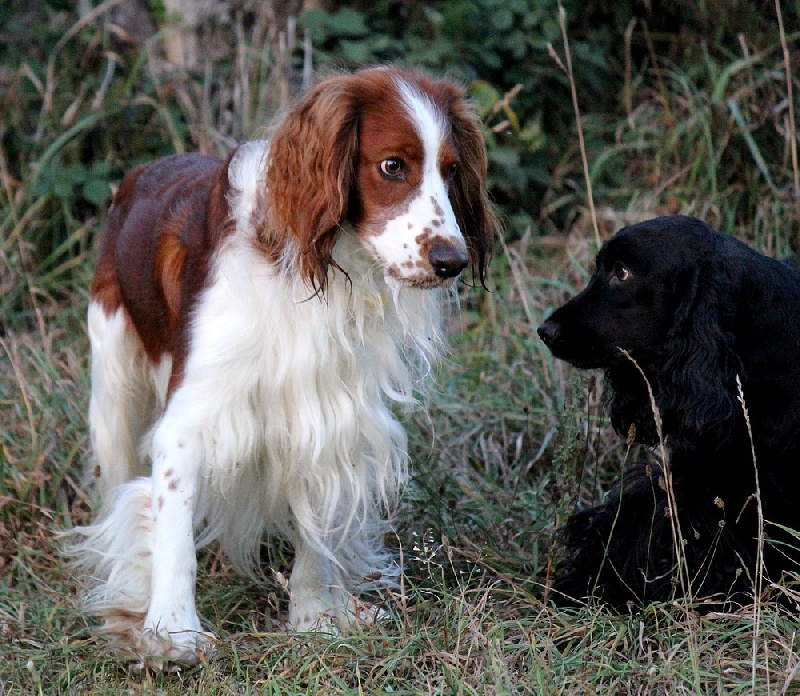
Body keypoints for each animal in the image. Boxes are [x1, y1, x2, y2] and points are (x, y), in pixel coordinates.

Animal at [69, 66, 496, 668]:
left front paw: (317, 618)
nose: (451, 261)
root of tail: (142, 171)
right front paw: (172, 632)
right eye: (393, 165)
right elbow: (172, 528)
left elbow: (318, 526)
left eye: (453, 169)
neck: (322, 269)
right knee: (118, 487)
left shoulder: (330, 416)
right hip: (113, 387)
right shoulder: (189, 419)